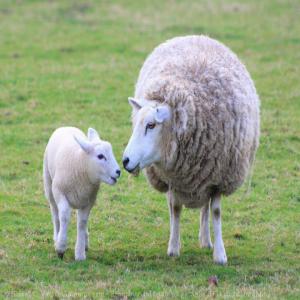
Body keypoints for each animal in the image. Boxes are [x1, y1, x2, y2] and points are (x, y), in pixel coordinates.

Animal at [43, 126, 120, 260]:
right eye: (100, 156)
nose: (118, 172)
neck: (80, 163)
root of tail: (66, 126)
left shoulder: (89, 201)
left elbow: (82, 223)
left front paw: (80, 254)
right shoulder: (59, 192)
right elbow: (64, 216)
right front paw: (61, 247)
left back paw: (85, 241)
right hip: (49, 184)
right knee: (55, 214)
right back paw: (56, 237)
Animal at [123, 35, 258, 264]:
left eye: (151, 125)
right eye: (136, 123)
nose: (125, 161)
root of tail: (197, 36)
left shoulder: (219, 177)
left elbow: (216, 212)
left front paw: (220, 254)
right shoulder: (172, 178)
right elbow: (175, 208)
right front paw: (173, 248)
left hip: (208, 175)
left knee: (206, 207)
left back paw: (206, 240)